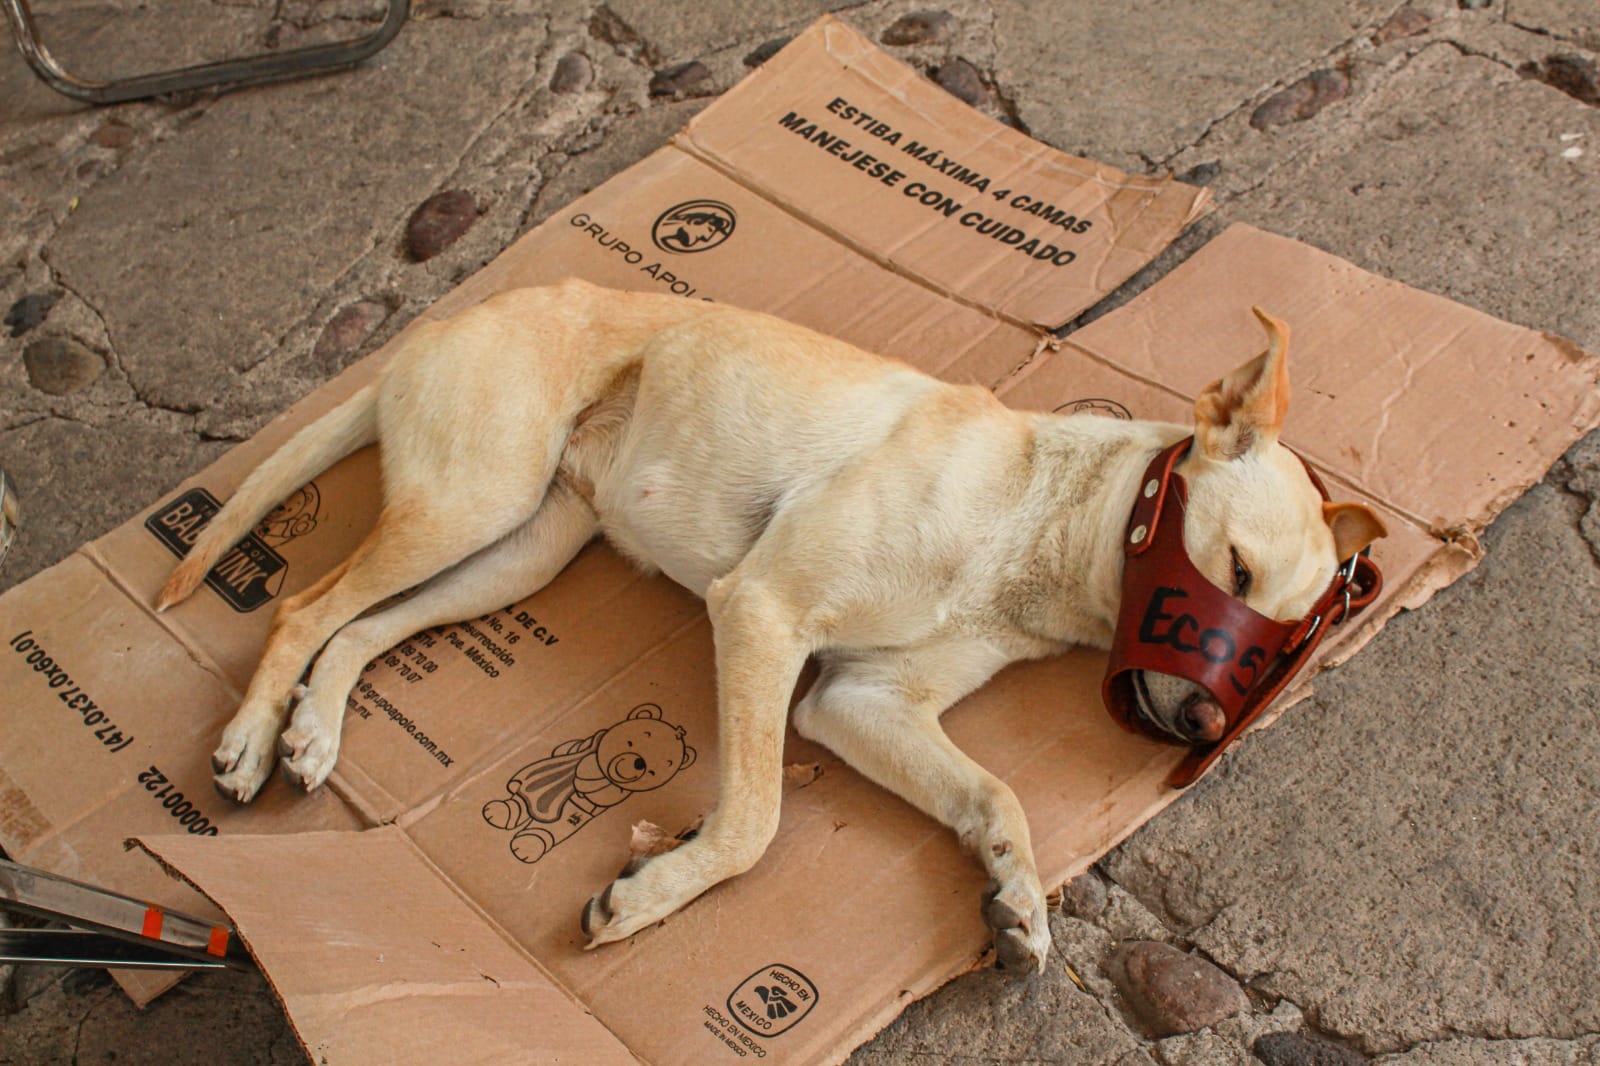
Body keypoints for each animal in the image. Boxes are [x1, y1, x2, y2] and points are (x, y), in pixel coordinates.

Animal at [159, 280, 1388, 973]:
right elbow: (752, 823)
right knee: (303, 604)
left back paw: (313, 731)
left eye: (1280, 645)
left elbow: (994, 794)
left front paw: (1017, 901)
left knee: (357, 630)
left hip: (519, 546)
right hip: (474, 498)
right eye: (1232, 569)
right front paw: (648, 894)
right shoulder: (761, 612)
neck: (1028, 529)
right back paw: (251, 739)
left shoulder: (859, 701)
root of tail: (440, 325)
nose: (1201, 728)